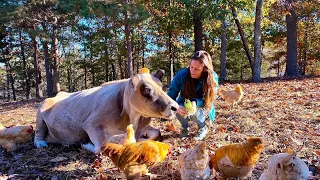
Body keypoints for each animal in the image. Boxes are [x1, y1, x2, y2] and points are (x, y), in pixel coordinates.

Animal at [33, 68, 179, 153]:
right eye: (147, 89)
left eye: (161, 86)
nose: (175, 107)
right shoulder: (91, 123)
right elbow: (101, 146)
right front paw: (86, 144)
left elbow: (156, 133)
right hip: (40, 116)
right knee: (38, 134)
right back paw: (41, 143)